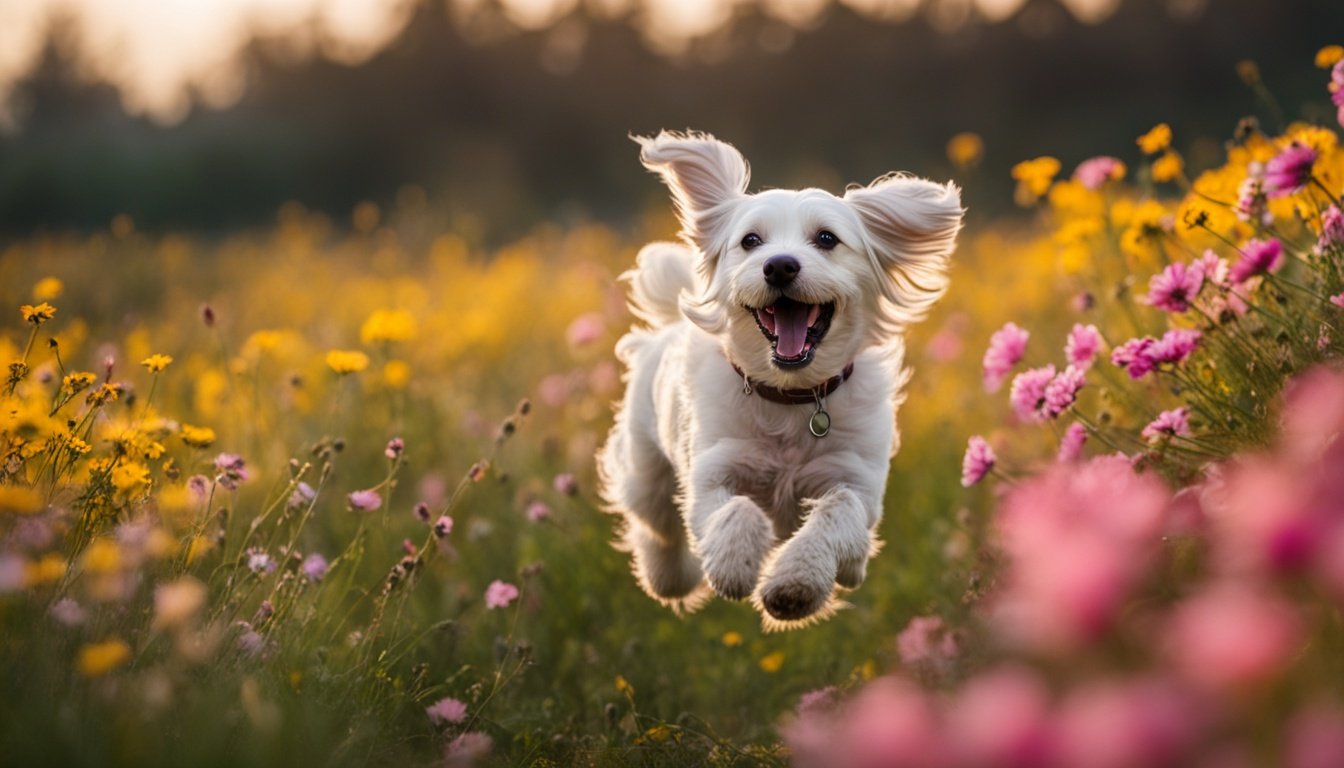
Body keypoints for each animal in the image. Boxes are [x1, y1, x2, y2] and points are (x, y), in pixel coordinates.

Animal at [594, 129, 962, 626]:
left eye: (827, 238)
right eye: (751, 241)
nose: (780, 265)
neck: (791, 397)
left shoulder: (858, 483)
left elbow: (838, 512)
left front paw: (797, 584)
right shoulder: (712, 472)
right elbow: (738, 511)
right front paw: (732, 565)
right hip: (645, 468)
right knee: (658, 527)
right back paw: (671, 576)